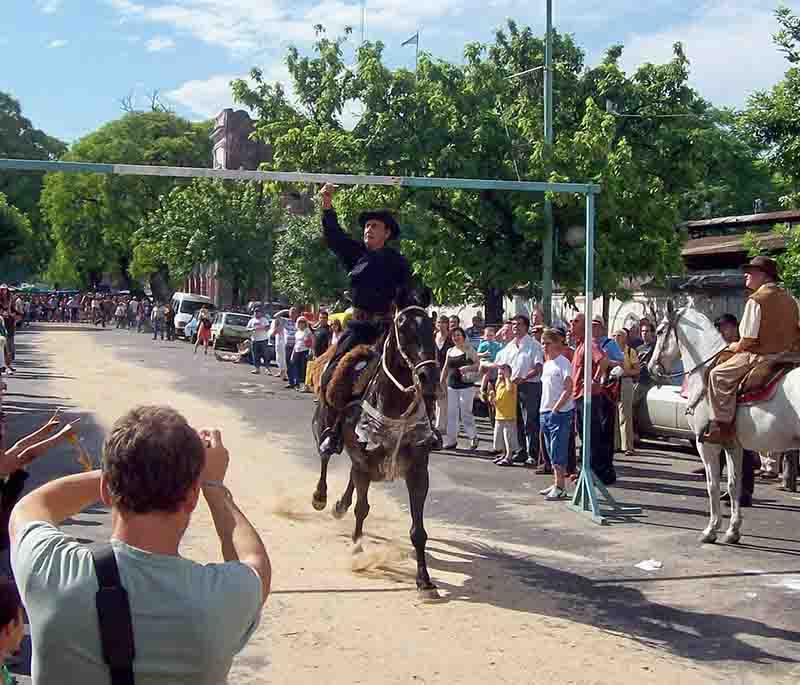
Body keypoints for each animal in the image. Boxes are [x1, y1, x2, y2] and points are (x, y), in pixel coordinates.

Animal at [310, 286, 438, 596]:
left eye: (431, 327)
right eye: (403, 327)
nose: (428, 376)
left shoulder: (418, 472)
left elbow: (418, 530)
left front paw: (424, 580)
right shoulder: (364, 461)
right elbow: (362, 508)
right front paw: (356, 548)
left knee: (351, 479)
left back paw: (339, 505)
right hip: (324, 424)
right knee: (325, 456)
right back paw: (321, 497)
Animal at [652, 304, 800, 544]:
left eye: (659, 331)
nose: (651, 367)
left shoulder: (706, 445)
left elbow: (712, 485)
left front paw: (711, 530)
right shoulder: (734, 446)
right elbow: (733, 485)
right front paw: (733, 530)